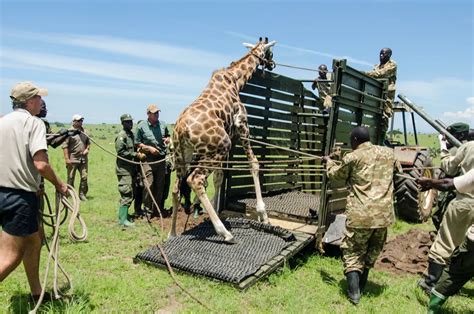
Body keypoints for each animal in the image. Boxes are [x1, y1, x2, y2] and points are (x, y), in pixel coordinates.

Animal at [170, 37, 276, 243]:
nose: (272, 64)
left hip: (182, 156)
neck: (235, 79)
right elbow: (253, 163)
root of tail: (181, 130)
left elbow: (219, 177)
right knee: (195, 180)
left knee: (176, 188)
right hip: (218, 146)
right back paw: (224, 232)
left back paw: (171, 233)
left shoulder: (231, 135)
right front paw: (263, 214)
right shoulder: (242, 125)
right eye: (270, 52)